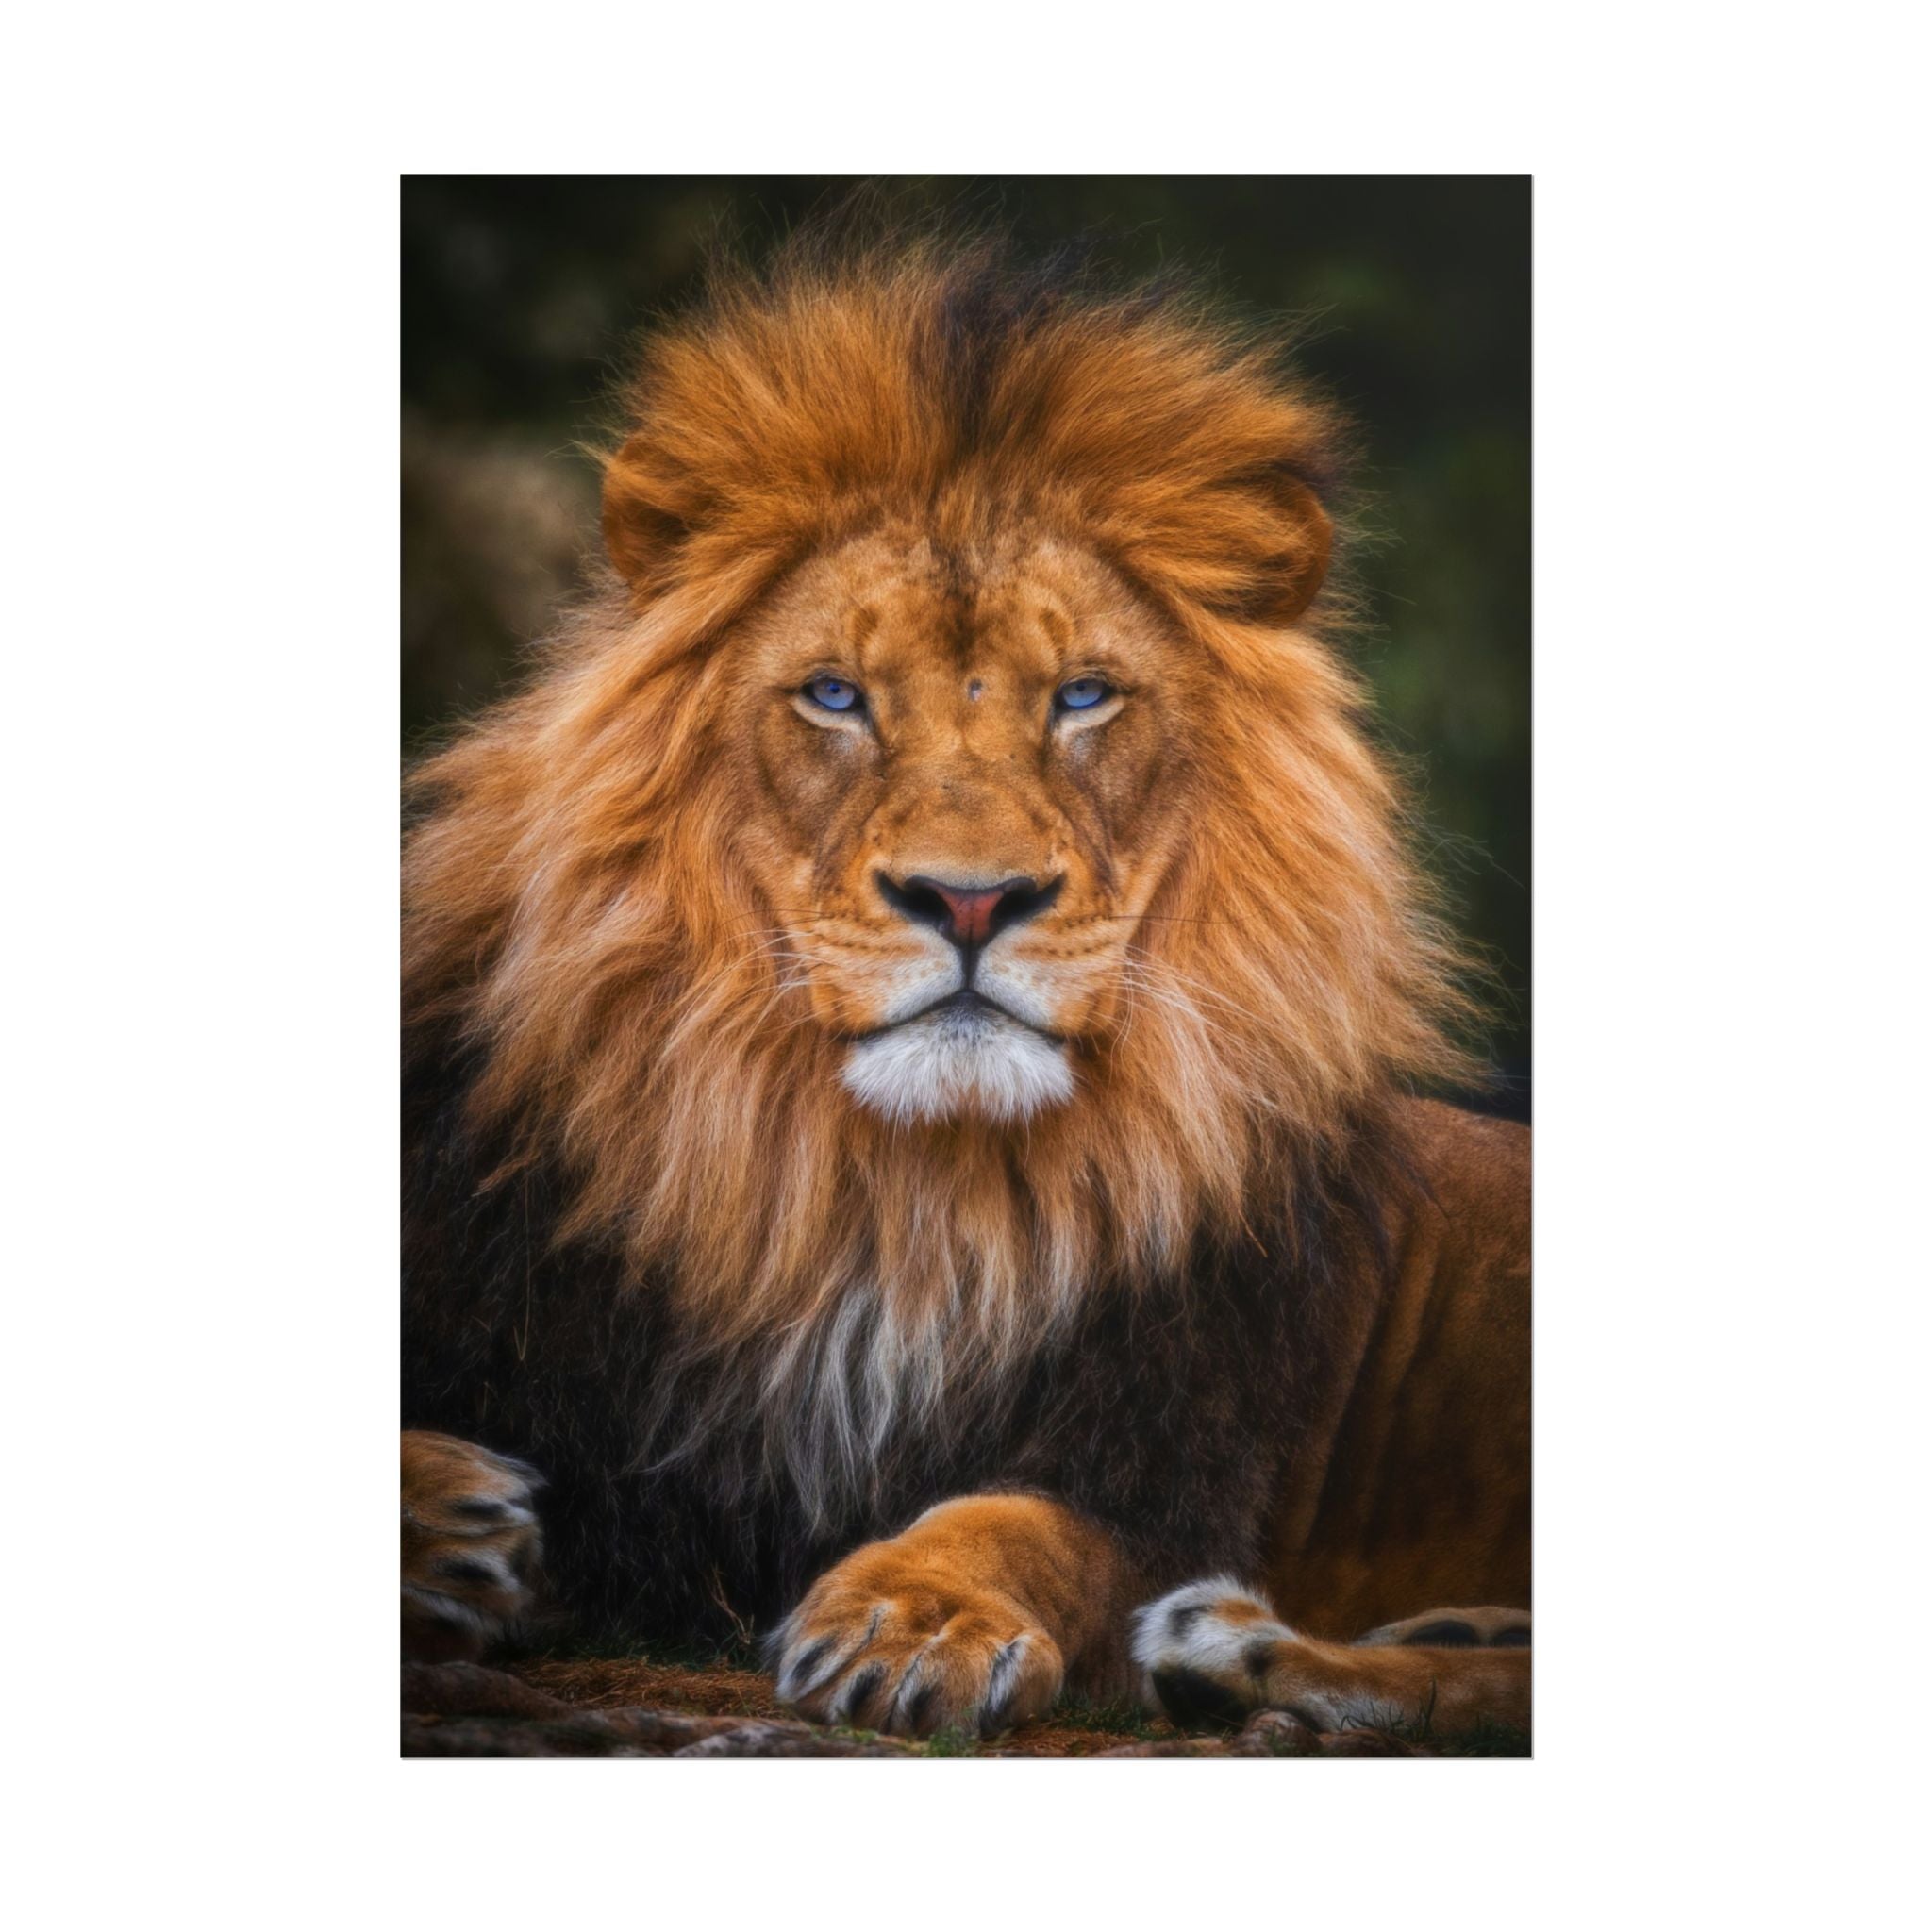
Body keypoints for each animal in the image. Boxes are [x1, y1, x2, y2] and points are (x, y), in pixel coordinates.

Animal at [401, 230, 1530, 1745]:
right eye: (833, 695)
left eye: (1083, 696)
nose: (972, 900)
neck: (886, 1197)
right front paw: (451, 1520)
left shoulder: (1167, 1462)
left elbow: (1020, 1522)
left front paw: (912, 1616)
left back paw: (1240, 1648)